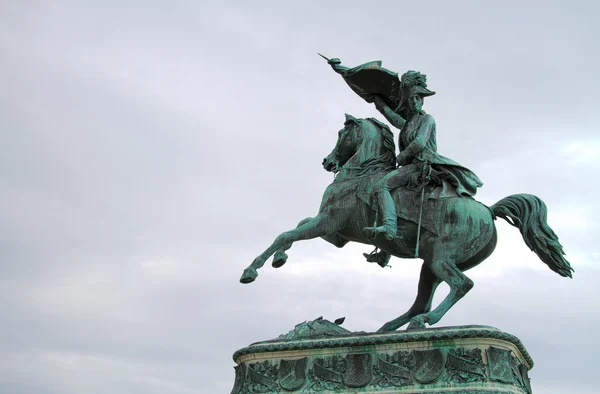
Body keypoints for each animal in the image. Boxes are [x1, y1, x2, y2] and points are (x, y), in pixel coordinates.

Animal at [239, 114, 572, 332]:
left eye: (340, 134)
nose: (327, 162)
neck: (360, 172)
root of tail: (488, 211)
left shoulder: (327, 222)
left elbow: (285, 233)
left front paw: (252, 270)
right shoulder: (336, 233)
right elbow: (296, 225)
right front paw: (279, 259)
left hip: (441, 259)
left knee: (461, 285)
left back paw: (424, 322)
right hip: (430, 266)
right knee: (422, 301)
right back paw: (389, 327)